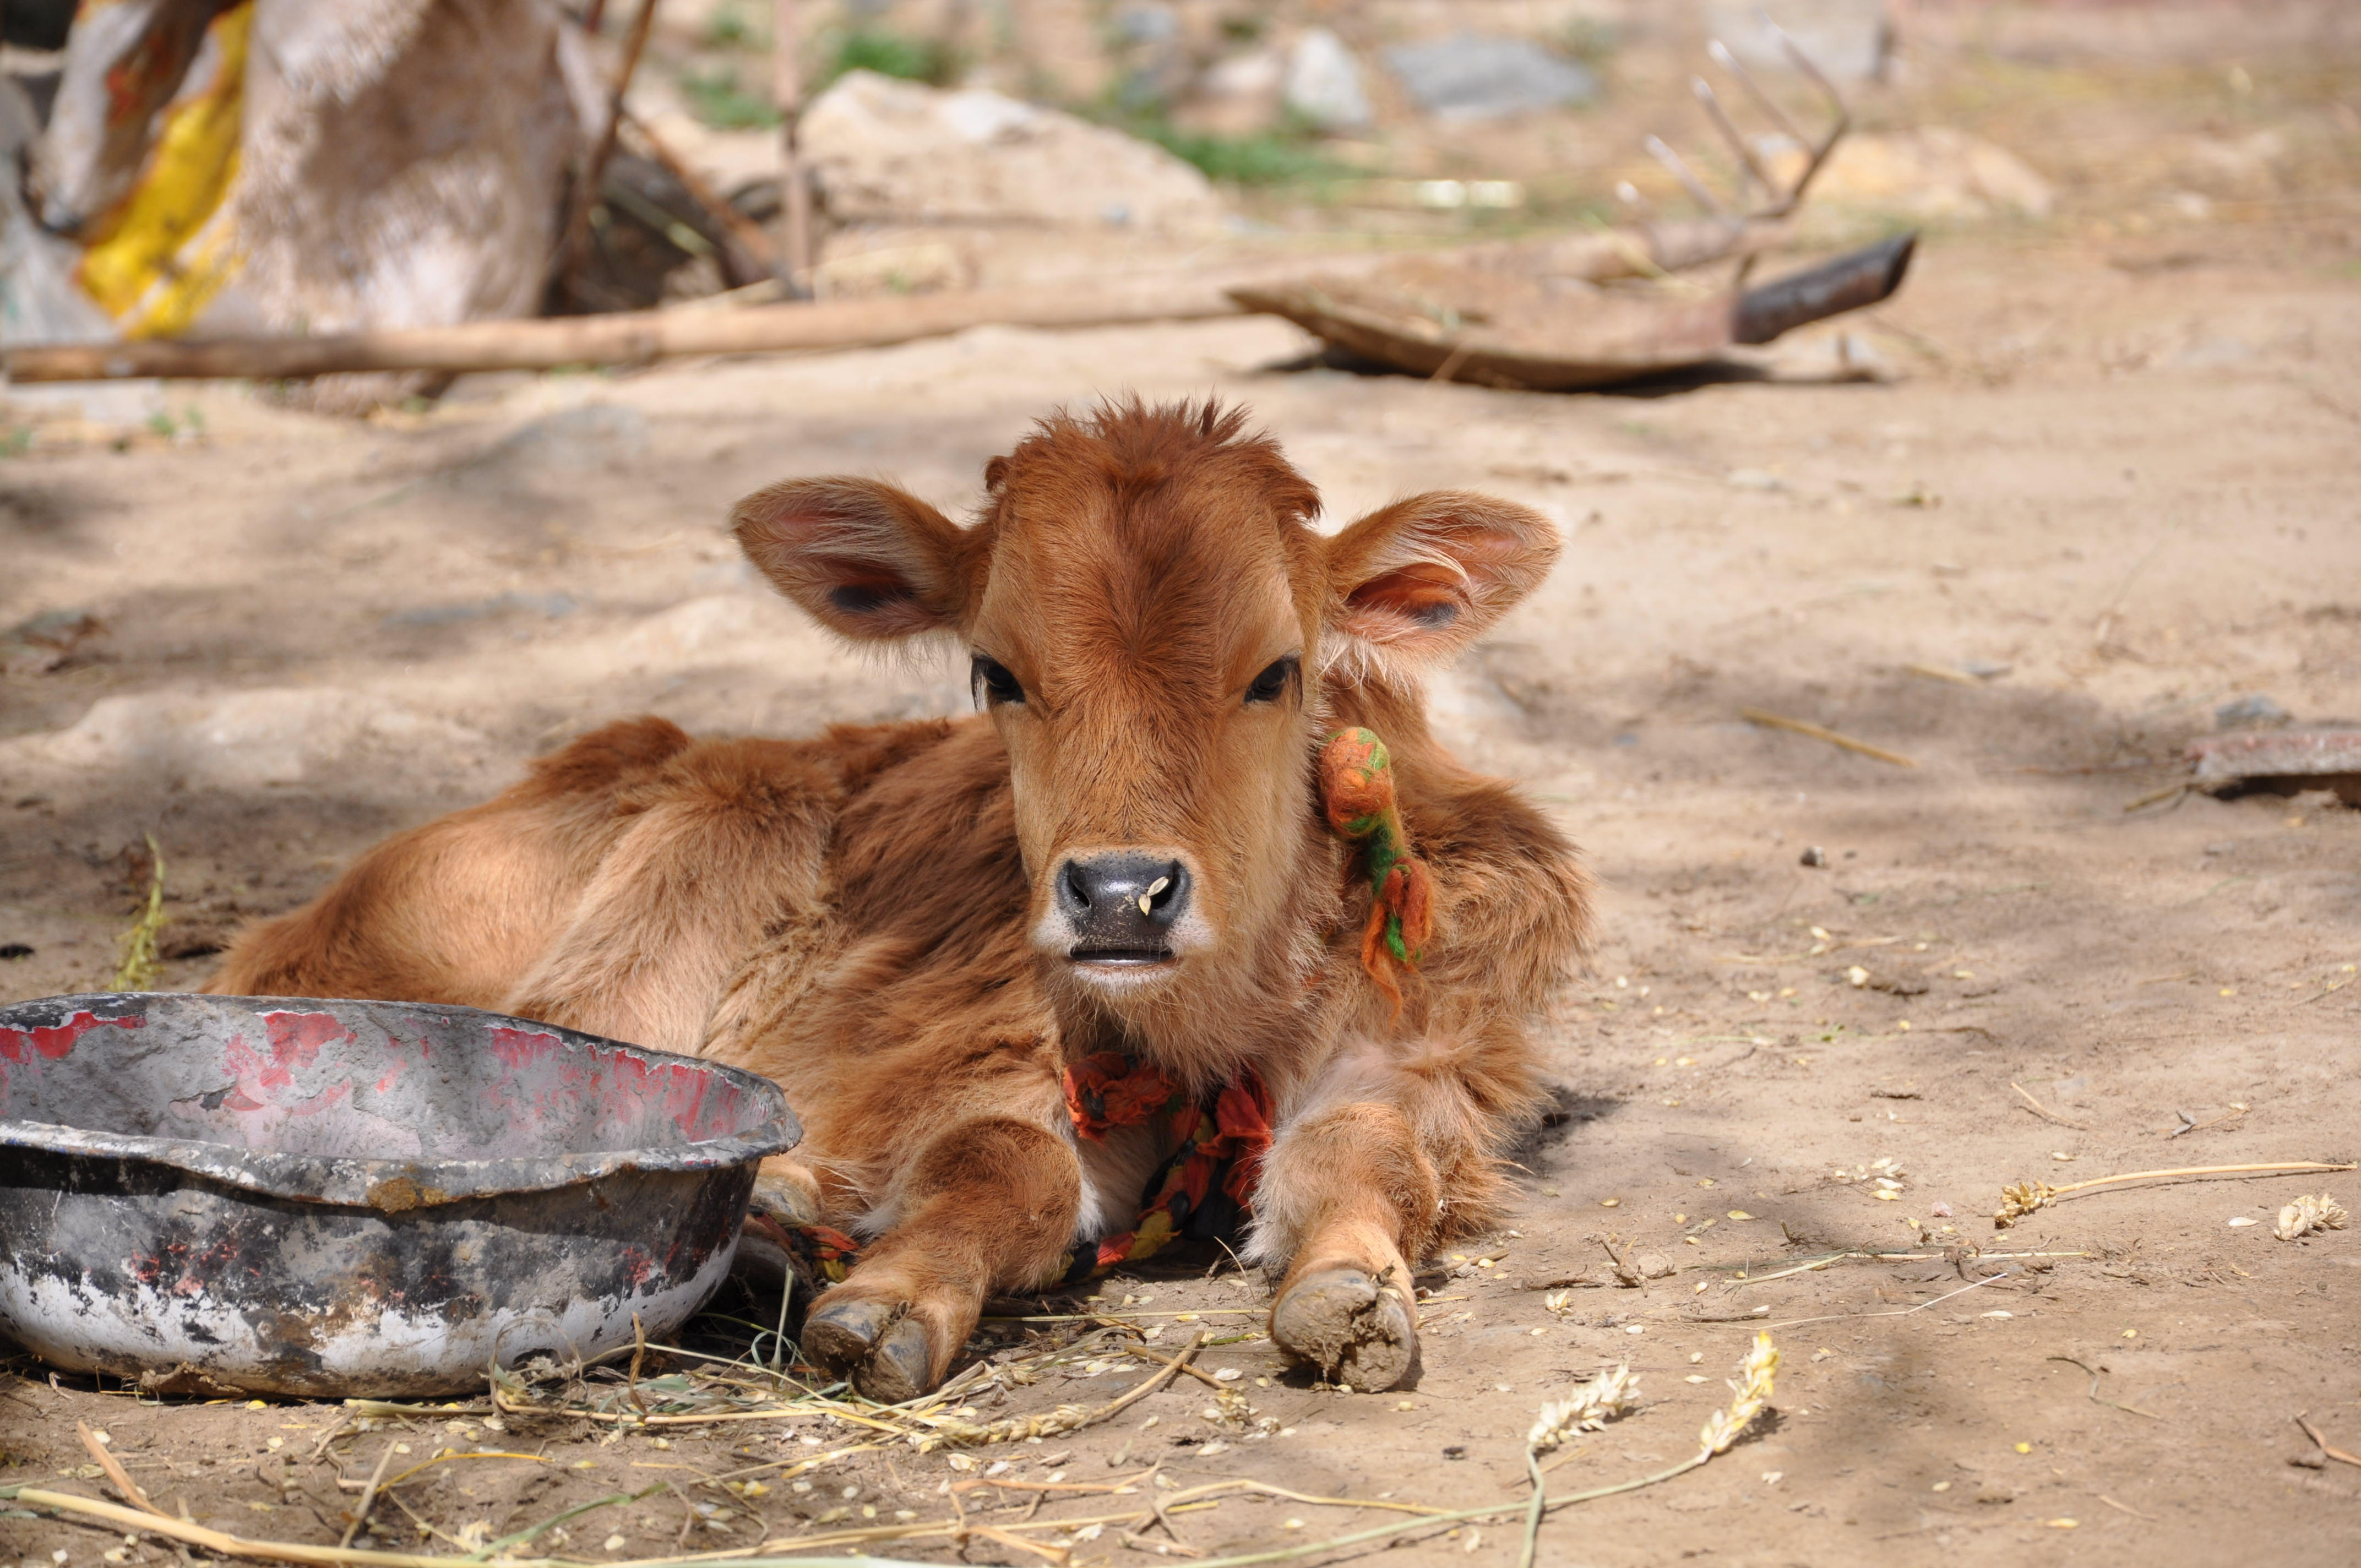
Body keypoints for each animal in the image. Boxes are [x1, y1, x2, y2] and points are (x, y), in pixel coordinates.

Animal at [212, 401, 1596, 1398]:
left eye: (1277, 671)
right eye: (995, 671)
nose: (1120, 893)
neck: (1204, 1036)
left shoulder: (1416, 1054)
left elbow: (1369, 1154)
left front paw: (1352, 1288)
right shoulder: (977, 1058)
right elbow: (1003, 1162)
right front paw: (886, 1300)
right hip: (694, 858)